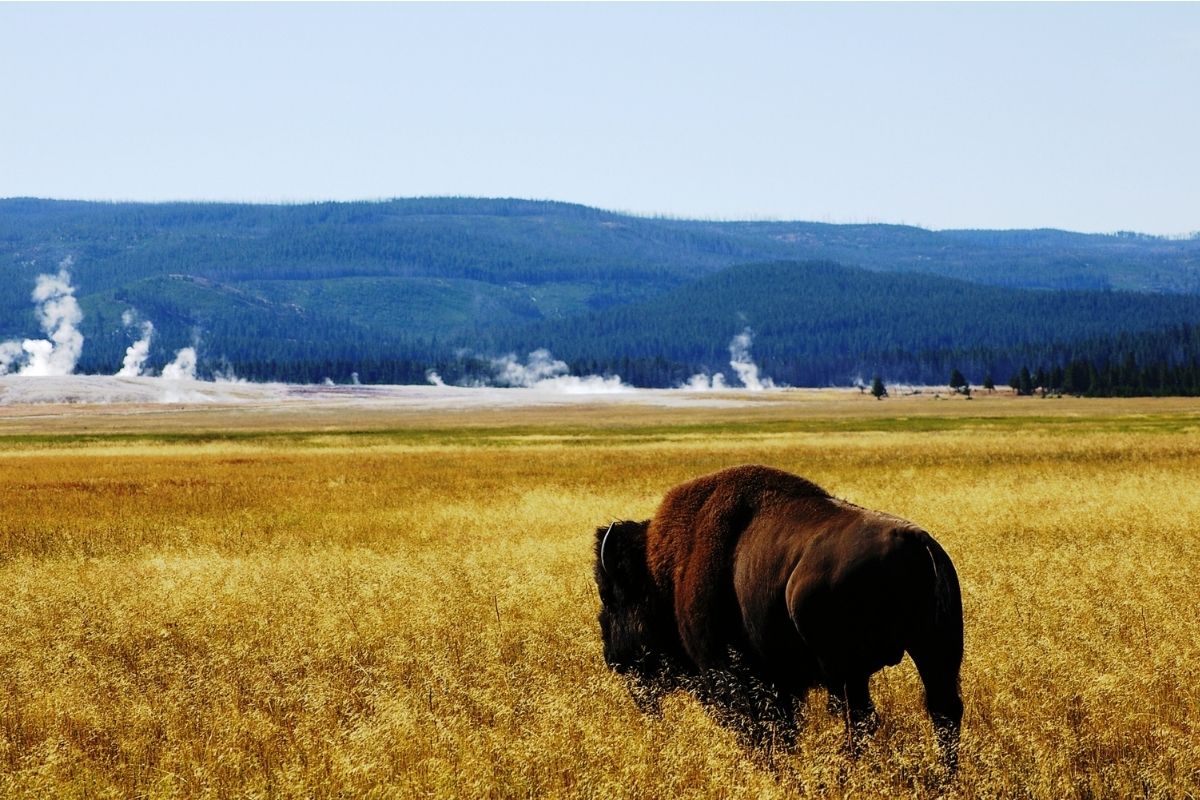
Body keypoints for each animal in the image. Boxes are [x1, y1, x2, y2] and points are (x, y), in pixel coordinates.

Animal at [595, 465, 960, 772]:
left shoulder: (730, 676)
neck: (665, 573)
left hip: (849, 671)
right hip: (935, 653)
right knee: (943, 712)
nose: (613, 659)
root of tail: (918, 543)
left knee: (862, 720)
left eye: (612, 598)